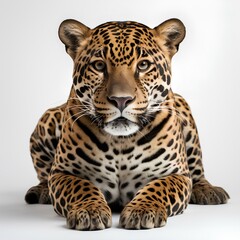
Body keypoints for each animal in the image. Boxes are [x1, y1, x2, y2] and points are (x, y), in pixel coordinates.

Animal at [25, 17, 230, 230]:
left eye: (143, 65)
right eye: (99, 66)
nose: (121, 100)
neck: (120, 142)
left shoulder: (177, 174)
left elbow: (158, 187)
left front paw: (142, 210)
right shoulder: (62, 172)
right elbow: (81, 187)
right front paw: (89, 210)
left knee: (197, 169)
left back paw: (208, 191)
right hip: (46, 120)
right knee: (44, 174)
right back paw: (42, 191)